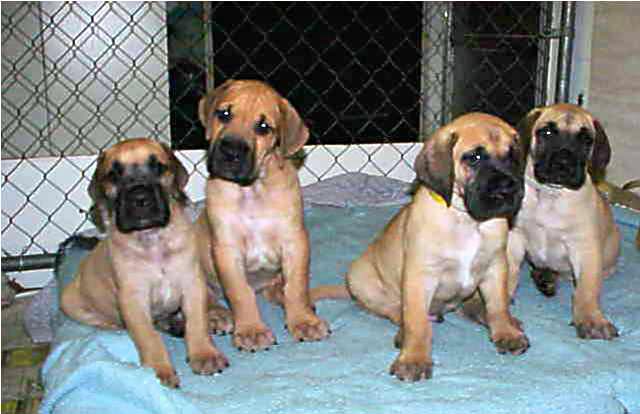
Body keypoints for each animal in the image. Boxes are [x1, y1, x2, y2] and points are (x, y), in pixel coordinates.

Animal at [61, 138, 228, 388]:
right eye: (113, 174)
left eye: (158, 167)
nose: (140, 199)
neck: (152, 238)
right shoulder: (133, 299)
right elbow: (148, 337)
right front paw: (159, 370)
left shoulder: (192, 284)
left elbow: (197, 322)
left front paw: (204, 354)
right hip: (69, 301)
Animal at [194, 80, 330, 352]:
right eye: (224, 114)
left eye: (263, 127)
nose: (231, 152)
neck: (253, 191)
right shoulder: (227, 250)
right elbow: (240, 293)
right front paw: (251, 330)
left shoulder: (295, 241)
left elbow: (296, 285)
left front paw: (303, 321)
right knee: (208, 295)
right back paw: (217, 314)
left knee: (281, 287)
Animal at [313, 113, 530, 381]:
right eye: (474, 158)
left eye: (512, 155)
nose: (509, 188)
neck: (468, 221)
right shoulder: (421, 276)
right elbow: (416, 321)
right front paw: (414, 358)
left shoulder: (495, 266)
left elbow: (498, 305)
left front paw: (506, 332)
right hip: (360, 278)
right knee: (396, 312)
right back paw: (403, 333)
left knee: (473, 306)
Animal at [506, 103, 620, 340]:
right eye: (547, 132)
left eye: (586, 139)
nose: (563, 163)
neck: (551, 195)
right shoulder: (515, 237)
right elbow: (510, 271)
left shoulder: (584, 248)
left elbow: (586, 289)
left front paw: (591, 318)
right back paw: (544, 277)